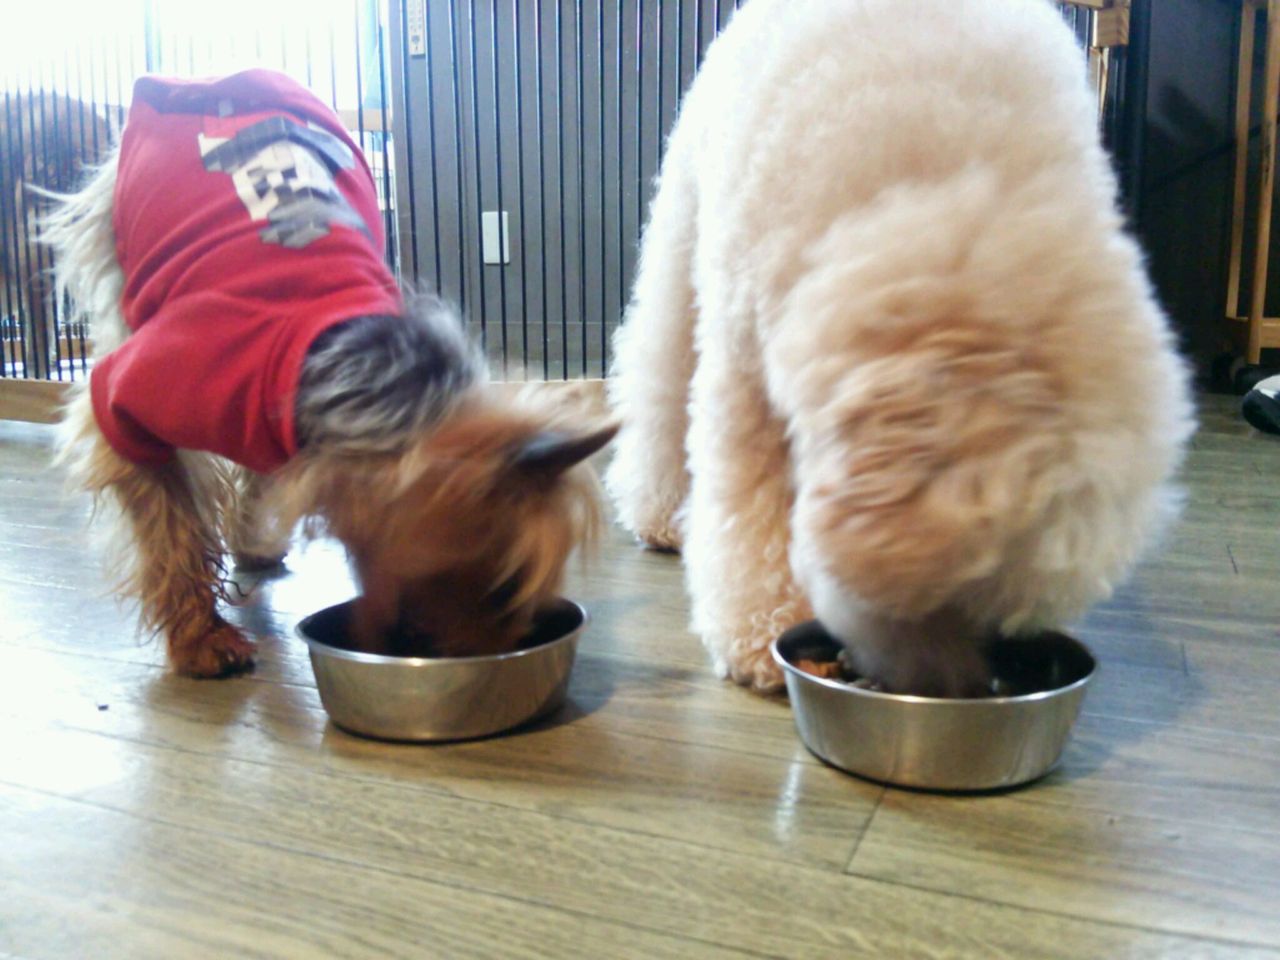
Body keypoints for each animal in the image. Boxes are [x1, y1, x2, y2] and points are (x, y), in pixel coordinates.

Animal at [44, 69, 615, 674]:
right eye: (504, 589)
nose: (499, 659)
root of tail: (212, 76)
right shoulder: (135, 401)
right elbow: (169, 524)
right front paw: (202, 637)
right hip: (117, 237)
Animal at [605, 0, 1195, 696]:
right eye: (948, 598)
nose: (960, 687)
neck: (951, 187)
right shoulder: (744, 370)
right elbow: (749, 513)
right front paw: (760, 632)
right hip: (682, 233)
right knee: (659, 379)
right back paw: (656, 513)